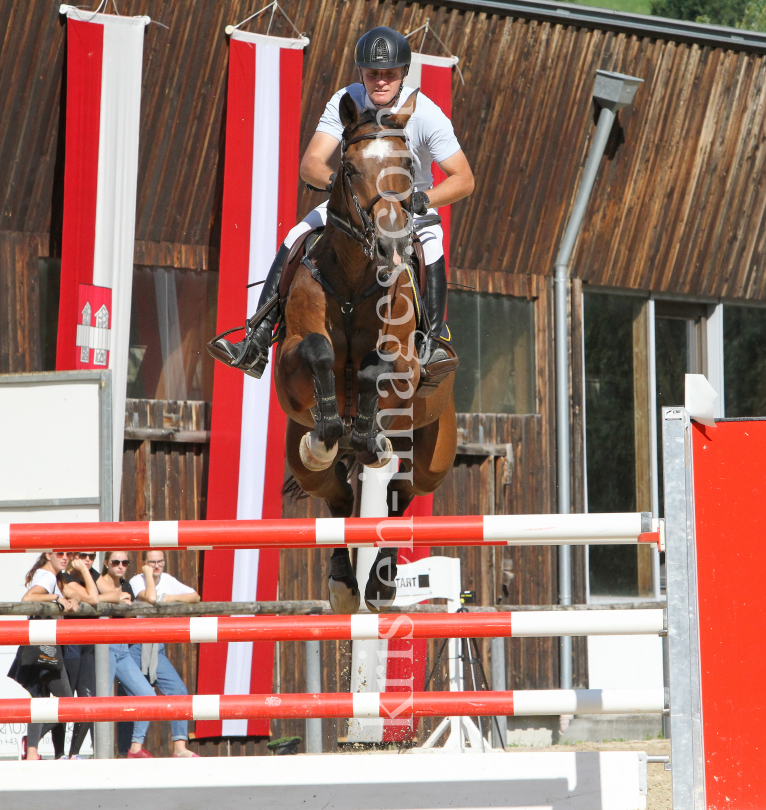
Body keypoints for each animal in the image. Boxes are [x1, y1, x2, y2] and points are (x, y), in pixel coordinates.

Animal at [278, 93, 460, 612]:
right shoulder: (288, 366)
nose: (391, 245)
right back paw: (343, 581)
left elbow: (374, 368)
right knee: (337, 493)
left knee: (401, 491)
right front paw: (333, 427)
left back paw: (380, 584)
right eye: (351, 168)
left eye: (408, 166)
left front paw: (364, 429)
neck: (356, 276)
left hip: (432, 454)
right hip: (302, 457)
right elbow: (317, 350)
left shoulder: (405, 368)